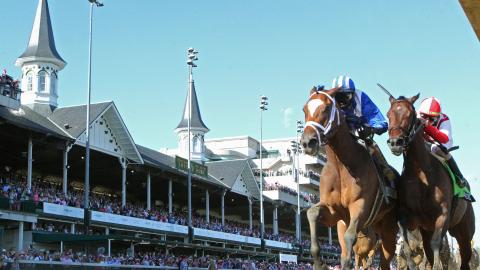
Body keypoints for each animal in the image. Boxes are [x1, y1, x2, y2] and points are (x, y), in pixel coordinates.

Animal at [300, 87, 398, 270]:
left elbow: (350, 237)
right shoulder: (333, 212)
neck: (341, 167)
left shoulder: (360, 207)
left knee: (385, 260)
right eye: (304, 109)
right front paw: (320, 263)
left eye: (326, 108)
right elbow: (312, 212)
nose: (307, 142)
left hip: (389, 231)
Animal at [384, 95, 474, 270]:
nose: (395, 142)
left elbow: (436, 244)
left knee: (465, 257)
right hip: (427, 230)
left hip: (464, 232)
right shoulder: (408, 216)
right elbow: (406, 244)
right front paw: (411, 263)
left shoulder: (443, 215)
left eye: (410, 115)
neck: (422, 175)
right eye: (388, 114)